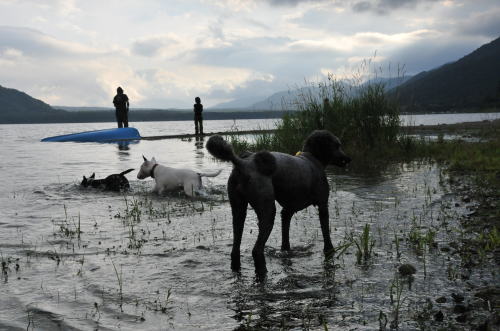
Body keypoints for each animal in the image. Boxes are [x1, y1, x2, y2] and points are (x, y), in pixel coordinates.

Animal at [207, 130, 352, 280]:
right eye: (337, 145)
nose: (348, 159)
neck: (312, 158)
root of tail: (243, 164)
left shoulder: (287, 210)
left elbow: (285, 236)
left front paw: (286, 251)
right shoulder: (323, 205)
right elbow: (326, 233)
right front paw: (330, 251)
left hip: (238, 209)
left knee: (235, 249)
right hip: (267, 210)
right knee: (256, 250)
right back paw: (263, 273)